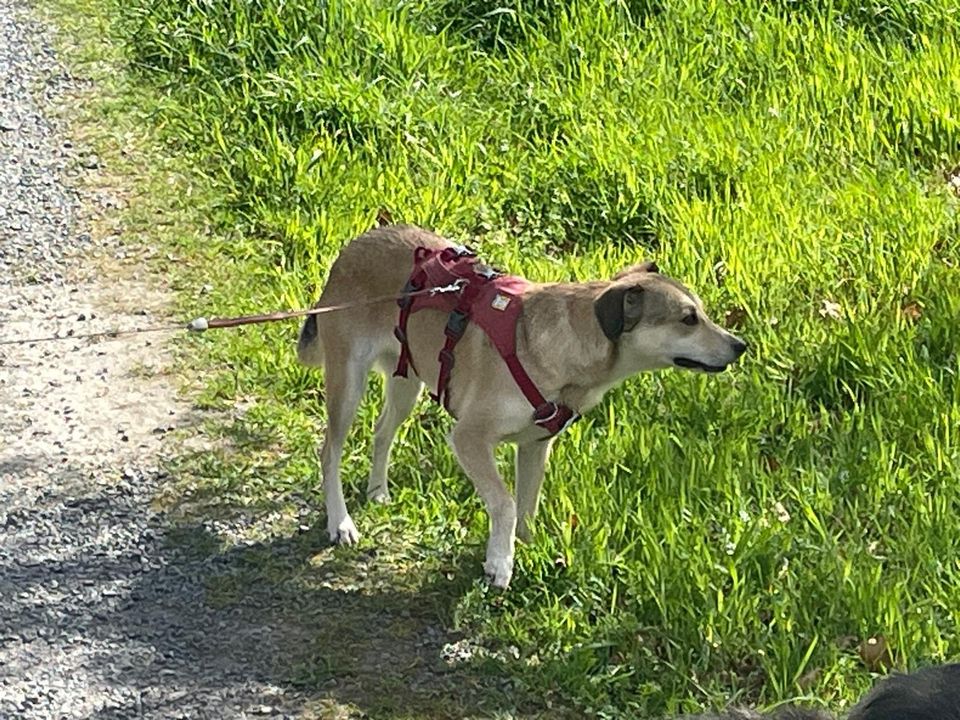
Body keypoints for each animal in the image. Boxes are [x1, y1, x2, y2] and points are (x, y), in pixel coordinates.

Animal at [296, 224, 748, 584]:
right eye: (688, 319)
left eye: (702, 312)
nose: (740, 345)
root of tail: (355, 246)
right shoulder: (469, 439)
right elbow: (506, 502)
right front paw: (500, 562)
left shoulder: (535, 446)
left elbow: (528, 503)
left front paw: (527, 549)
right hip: (348, 381)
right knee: (329, 450)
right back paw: (341, 522)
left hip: (407, 380)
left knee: (382, 432)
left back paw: (377, 491)